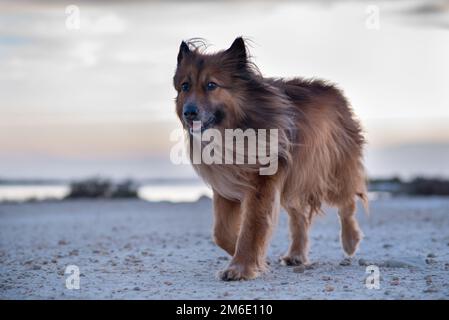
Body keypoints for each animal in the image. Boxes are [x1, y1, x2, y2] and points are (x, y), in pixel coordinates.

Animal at [173, 37, 366, 280]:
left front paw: (240, 267)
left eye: (211, 85)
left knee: (347, 200)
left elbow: (252, 226)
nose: (189, 112)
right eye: (185, 86)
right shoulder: (226, 184)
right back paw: (296, 254)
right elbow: (221, 232)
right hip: (294, 181)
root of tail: (335, 92)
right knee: (299, 218)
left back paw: (350, 241)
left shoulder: (261, 182)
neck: (234, 129)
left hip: (330, 169)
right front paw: (254, 258)